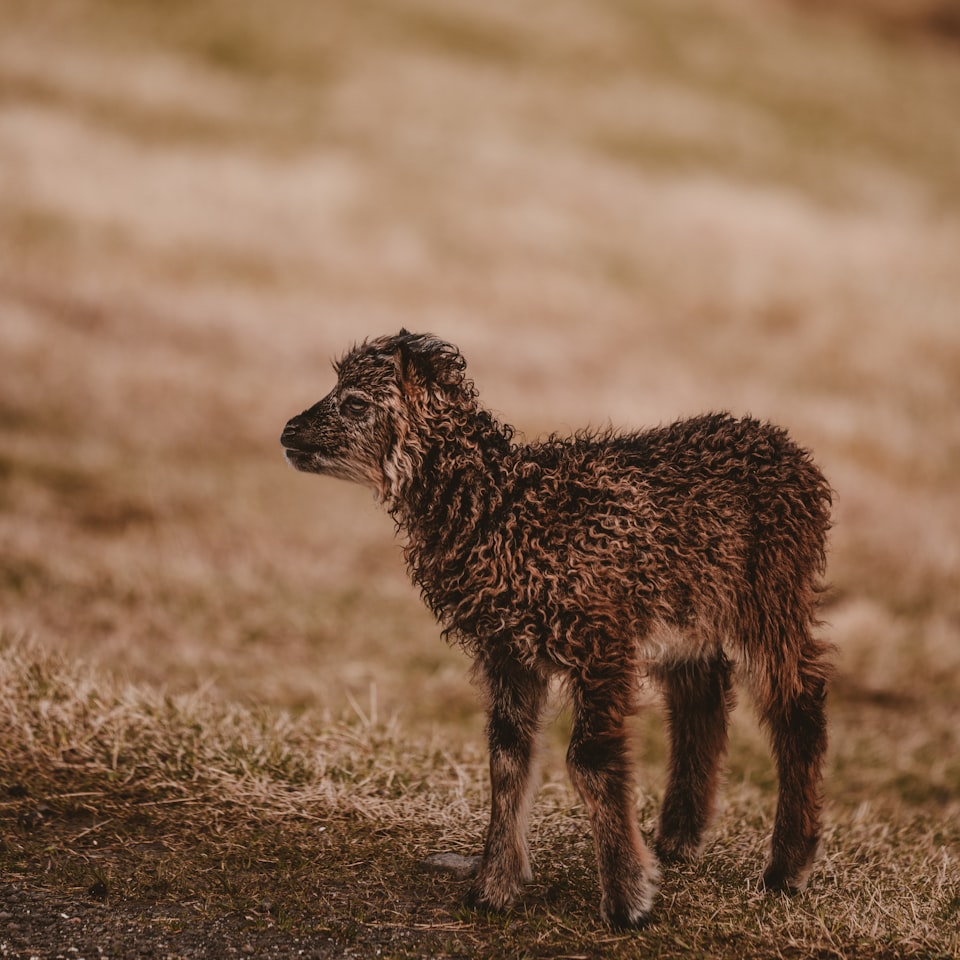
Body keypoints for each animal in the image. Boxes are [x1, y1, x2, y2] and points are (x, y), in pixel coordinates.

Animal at [280, 330, 833, 929]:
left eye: (356, 402)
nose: (289, 432)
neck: (503, 510)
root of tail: (788, 450)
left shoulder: (600, 638)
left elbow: (589, 760)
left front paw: (627, 899)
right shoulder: (506, 648)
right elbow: (507, 755)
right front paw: (494, 887)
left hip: (771, 597)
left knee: (796, 702)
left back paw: (786, 870)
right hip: (688, 612)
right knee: (701, 693)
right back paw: (678, 840)